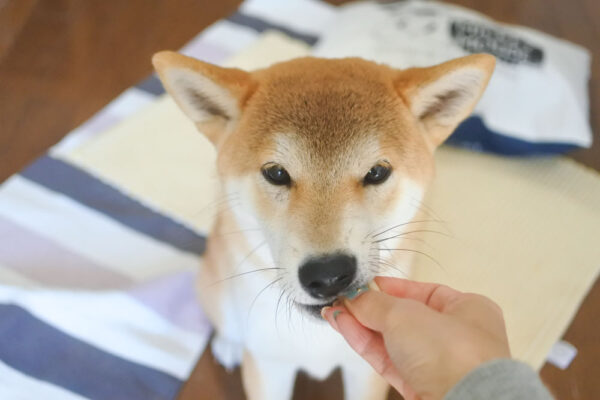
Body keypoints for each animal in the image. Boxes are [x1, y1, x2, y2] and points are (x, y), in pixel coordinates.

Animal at [152, 50, 494, 400]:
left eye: (377, 172)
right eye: (276, 173)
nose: (328, 275)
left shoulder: (365, 372)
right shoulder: (269, 368)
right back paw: (230, 343)